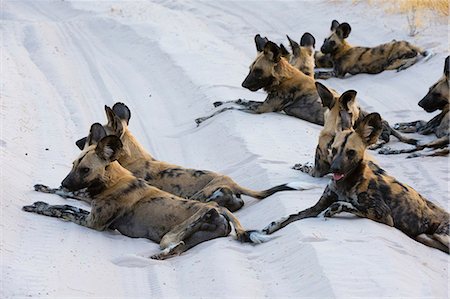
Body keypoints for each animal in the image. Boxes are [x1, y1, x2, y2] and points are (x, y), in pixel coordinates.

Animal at [23, 134, 270, 260]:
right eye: (73, 165)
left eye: (85, 170)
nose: (64, 182)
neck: (113, 181)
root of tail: (221, 213)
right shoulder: (91, 210)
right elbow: (69, 204)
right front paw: (45, 193)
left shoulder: (93, 223)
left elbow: (60, 210)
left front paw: (39, 206)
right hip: (193, 237)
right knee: (181, 245)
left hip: (175, 230)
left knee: (184, 231)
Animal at [195, 37, 326, 126]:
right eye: (250, 69)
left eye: (258, 71)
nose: (243, 85)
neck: (282, 80)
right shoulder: (262, 103)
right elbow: (239, 100)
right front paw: (219, 103)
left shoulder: (262, 108)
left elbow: (228, 108)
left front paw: (202, 119)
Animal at [262, 113, 448, 254]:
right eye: (334, 149)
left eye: (350, 152)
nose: (334, 168)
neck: (345, 184)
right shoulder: (317, 206)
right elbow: (291, 216)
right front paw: (270, 227)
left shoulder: (384, 215)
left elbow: (345, 204)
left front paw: (332, 210)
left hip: (442, 235)